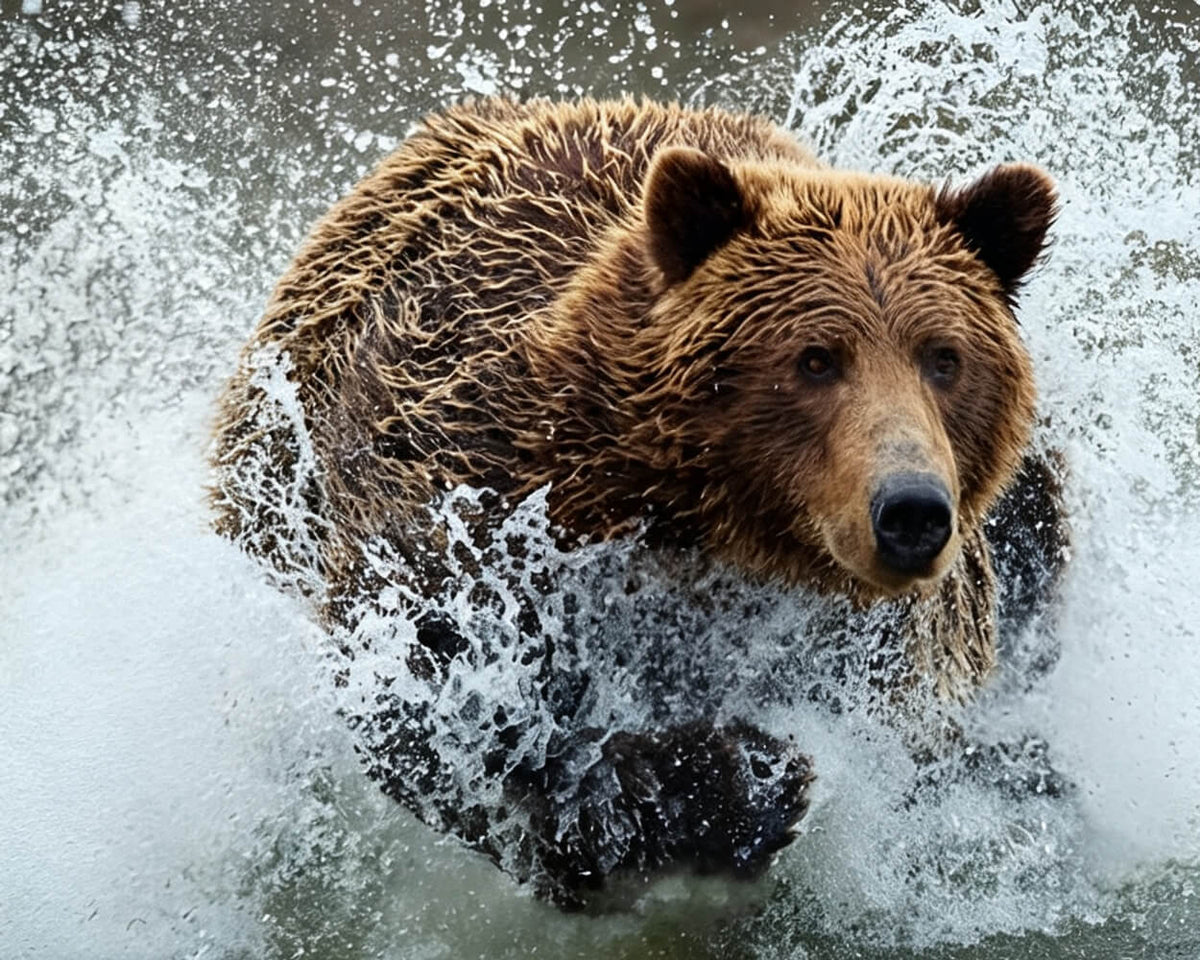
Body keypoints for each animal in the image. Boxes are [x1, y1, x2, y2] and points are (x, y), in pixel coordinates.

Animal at [210, 98, 1065, 908]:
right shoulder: (471, 487)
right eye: (816, 358)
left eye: (944, 357)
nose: (911, 511)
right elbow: (438, 684)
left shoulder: (883, 639)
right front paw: (711, 785)